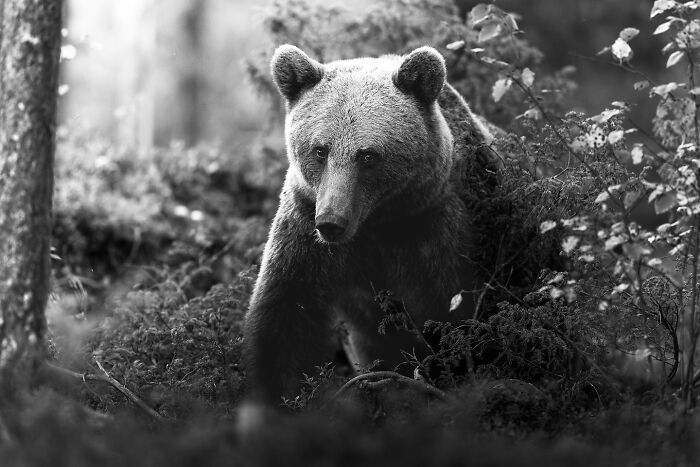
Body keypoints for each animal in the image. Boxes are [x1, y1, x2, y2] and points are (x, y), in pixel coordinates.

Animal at [243, 44, 497, 405]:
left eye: (367, 155)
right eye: (320, 150)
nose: (331, 222)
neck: (375, 223)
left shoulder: (436, 230)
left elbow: (453, 315)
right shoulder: (305, 231)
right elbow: (285, 319)